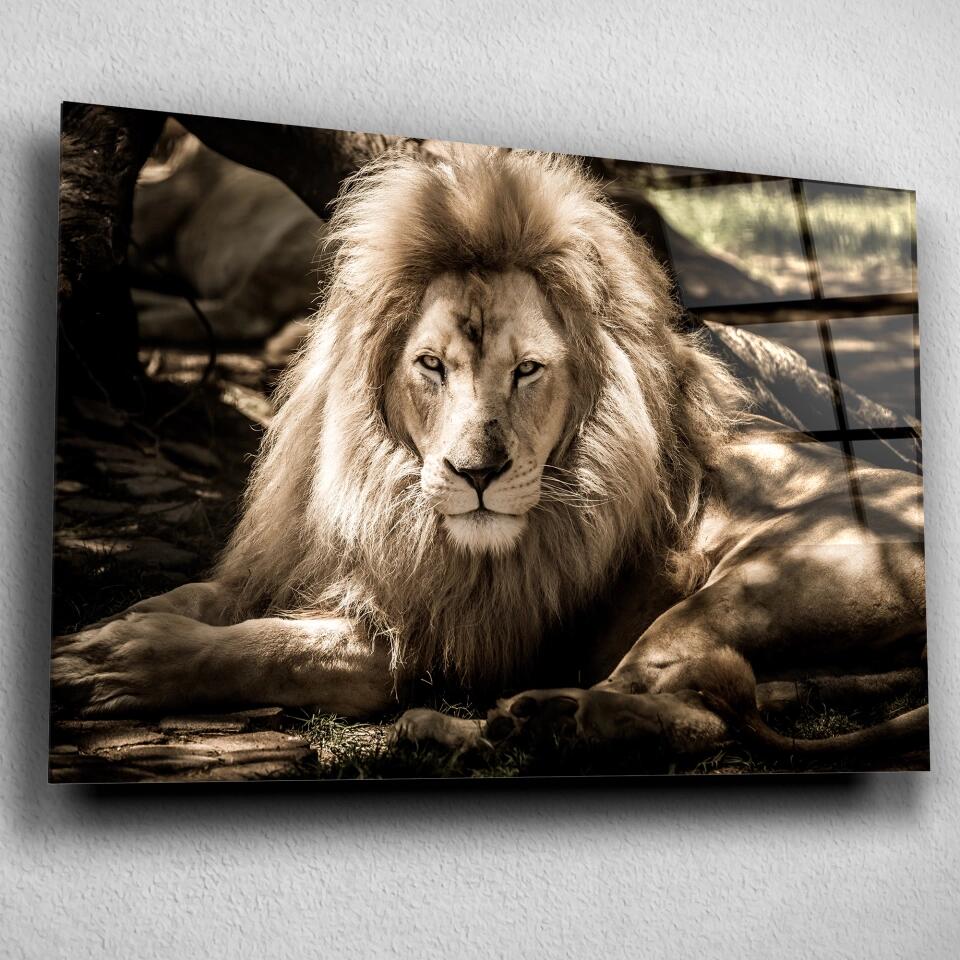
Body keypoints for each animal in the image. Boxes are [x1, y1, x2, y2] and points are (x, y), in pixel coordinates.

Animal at [52, 146, 928, 765]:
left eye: (528, 370)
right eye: (432, 366)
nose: (477, 475)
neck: (383, 491)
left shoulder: (434, 639)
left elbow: (276, 648)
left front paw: (121, 664)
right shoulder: (301, 563)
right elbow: (200, 597)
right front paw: (111, 630)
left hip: (741, 590)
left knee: (680, 712)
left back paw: (517, 721)